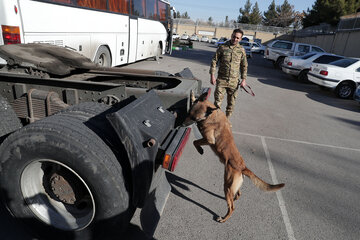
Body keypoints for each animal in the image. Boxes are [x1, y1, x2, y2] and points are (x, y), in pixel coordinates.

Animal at [184, 92, 286, 223]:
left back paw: (223, 219)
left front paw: (200, 150)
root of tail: (242, 167)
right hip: (232, 185)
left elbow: (195, 142)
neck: (212, 115)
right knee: (238, 194)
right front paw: (192, 96)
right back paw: (235, 199)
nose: (181, 124)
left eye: (194, 119)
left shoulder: (209, 140)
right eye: (188, 113)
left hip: (227, 185)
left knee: (232, 207)